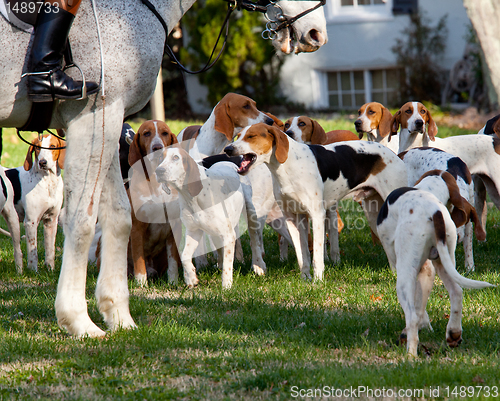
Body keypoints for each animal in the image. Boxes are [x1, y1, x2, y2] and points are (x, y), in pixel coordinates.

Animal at [0, 0, 328, 338]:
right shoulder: (93, 115)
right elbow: (84, 222)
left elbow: (119, 219)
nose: (315, 32)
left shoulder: (107, 122)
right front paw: (79, 318)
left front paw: (117, 313)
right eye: (246, 106)